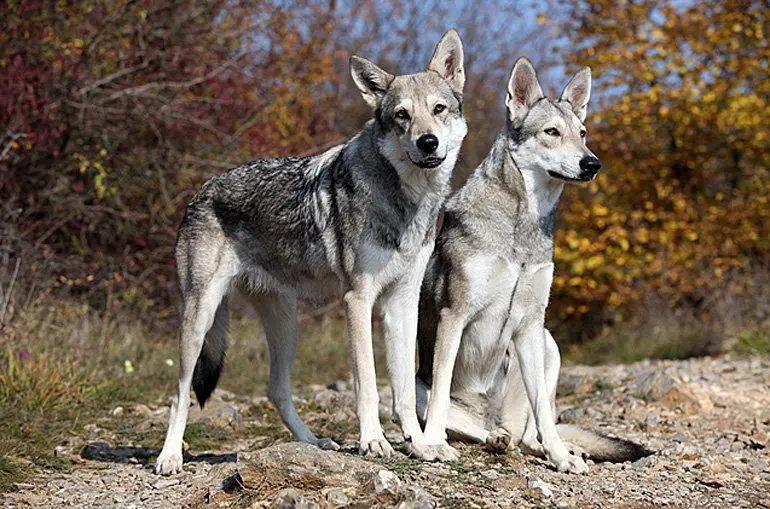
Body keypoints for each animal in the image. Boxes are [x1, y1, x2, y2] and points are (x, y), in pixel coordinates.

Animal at [154, 29, 468, 475]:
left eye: (438, 109)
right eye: (402, 116)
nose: (428, 142)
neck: (407, 201)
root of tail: (201, 190)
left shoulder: (402, 302)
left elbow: (405, 390)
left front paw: (422, 445)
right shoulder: (358, 300)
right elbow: (368, 385)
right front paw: (373, 442)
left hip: (287, 326)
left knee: (276, 390)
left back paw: (313, 443)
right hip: (200, 317)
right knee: (181, 391)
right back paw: (169, 457)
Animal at [414, 58, 651, 472]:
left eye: (583, 134)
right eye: (551, 132)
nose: (592, 164)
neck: (524, 222)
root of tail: (493, 416)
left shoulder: (529, 323)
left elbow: (543, 410)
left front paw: (561, 458)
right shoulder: (453, 315)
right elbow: (441, 394)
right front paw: (433, 446)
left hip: (547, 343)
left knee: (528, 435)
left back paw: (560, 449)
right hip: (414, 389)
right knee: (483, 430)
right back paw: (491, 439)